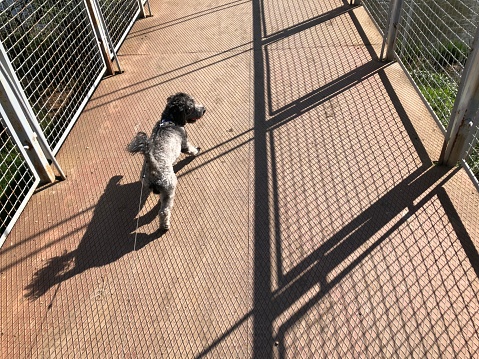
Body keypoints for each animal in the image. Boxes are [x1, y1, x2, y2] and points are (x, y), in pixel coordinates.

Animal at [126, 93, 205, 231]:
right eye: (191, 107)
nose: (203, 110)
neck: (169, 120)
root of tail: (152, 166)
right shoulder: (184, 143)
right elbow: (190, 150)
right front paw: (197, 151)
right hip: (170, 185)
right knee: (164, 210)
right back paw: (165, 225)